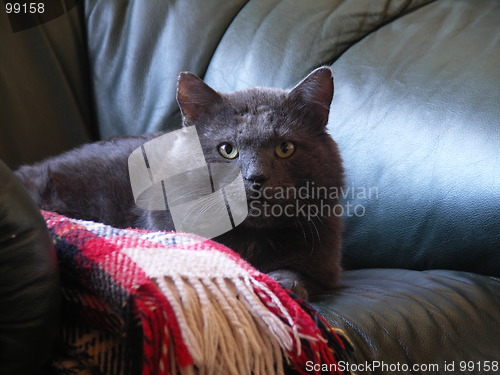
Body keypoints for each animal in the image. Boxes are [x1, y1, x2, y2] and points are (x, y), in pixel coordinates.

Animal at [15, 67, 344, 302]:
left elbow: (300, 272)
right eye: (227, 149)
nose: (255, 177)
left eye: (285, 148)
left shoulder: (325, 263)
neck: (253, 236)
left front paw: (282, 282)